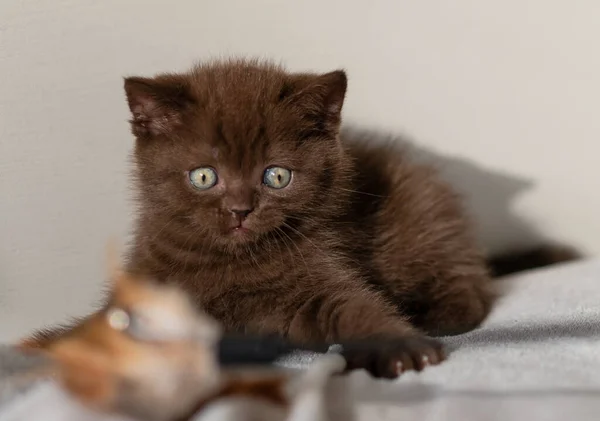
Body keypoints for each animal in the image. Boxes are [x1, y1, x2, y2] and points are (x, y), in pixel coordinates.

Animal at [110, 57, 490, 376]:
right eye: (203, 176)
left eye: (276, 176)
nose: (240, 209)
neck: (234, 261)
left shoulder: (319, 274)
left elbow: (354, 308)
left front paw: (402, 347)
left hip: (419, 221)